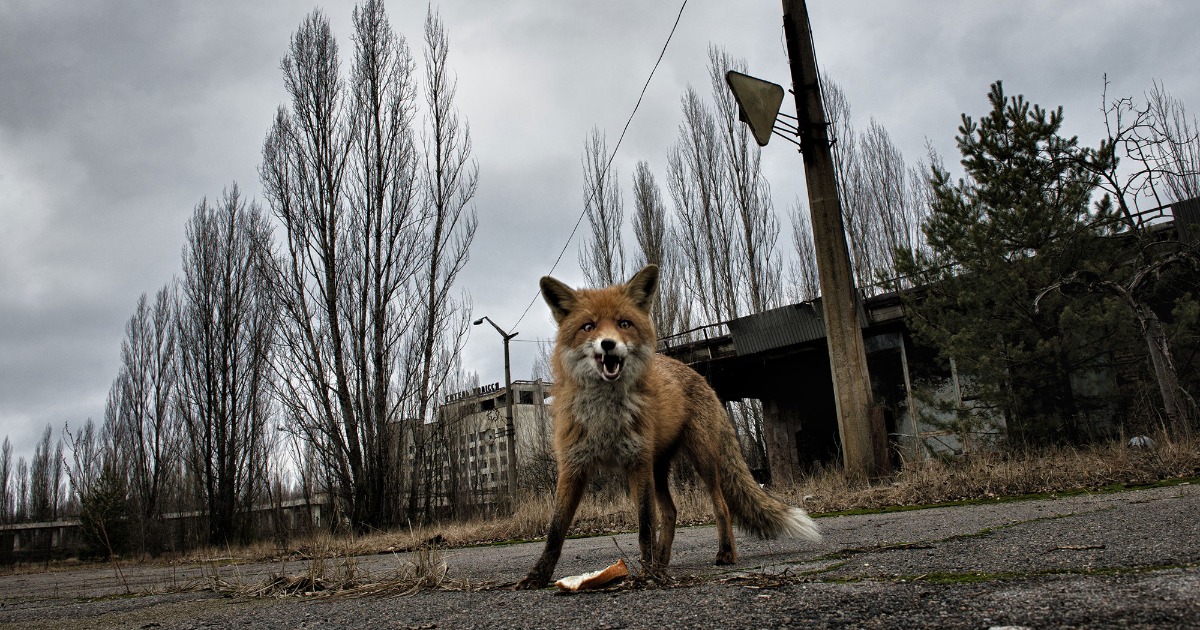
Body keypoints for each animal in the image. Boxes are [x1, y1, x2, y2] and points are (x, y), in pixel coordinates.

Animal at [515, 264, 820, 589]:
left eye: (624, 323)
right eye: (588, 326)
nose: (608, 344)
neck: (606, 415)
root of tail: (701, 377)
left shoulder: (637, 462)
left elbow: (645, 526)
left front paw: (648, 575)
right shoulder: (573, 466)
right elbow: (555, 532)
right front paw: (537, 576)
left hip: (700, 459)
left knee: (721, 506)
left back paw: (723, 553)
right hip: (658, 468)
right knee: (672, 513)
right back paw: (662, 561)